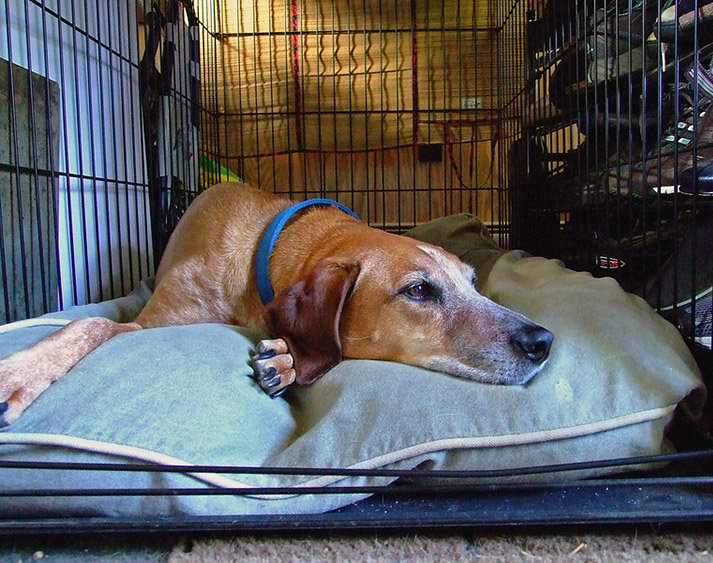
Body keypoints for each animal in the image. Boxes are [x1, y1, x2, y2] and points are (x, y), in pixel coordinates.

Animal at [0, 183, 552, 426]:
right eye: (418, 291)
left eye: (474, 283)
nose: (542, 340)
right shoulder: (145, 323)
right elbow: (91, 323)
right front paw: (20, 374)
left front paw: (286, 361)